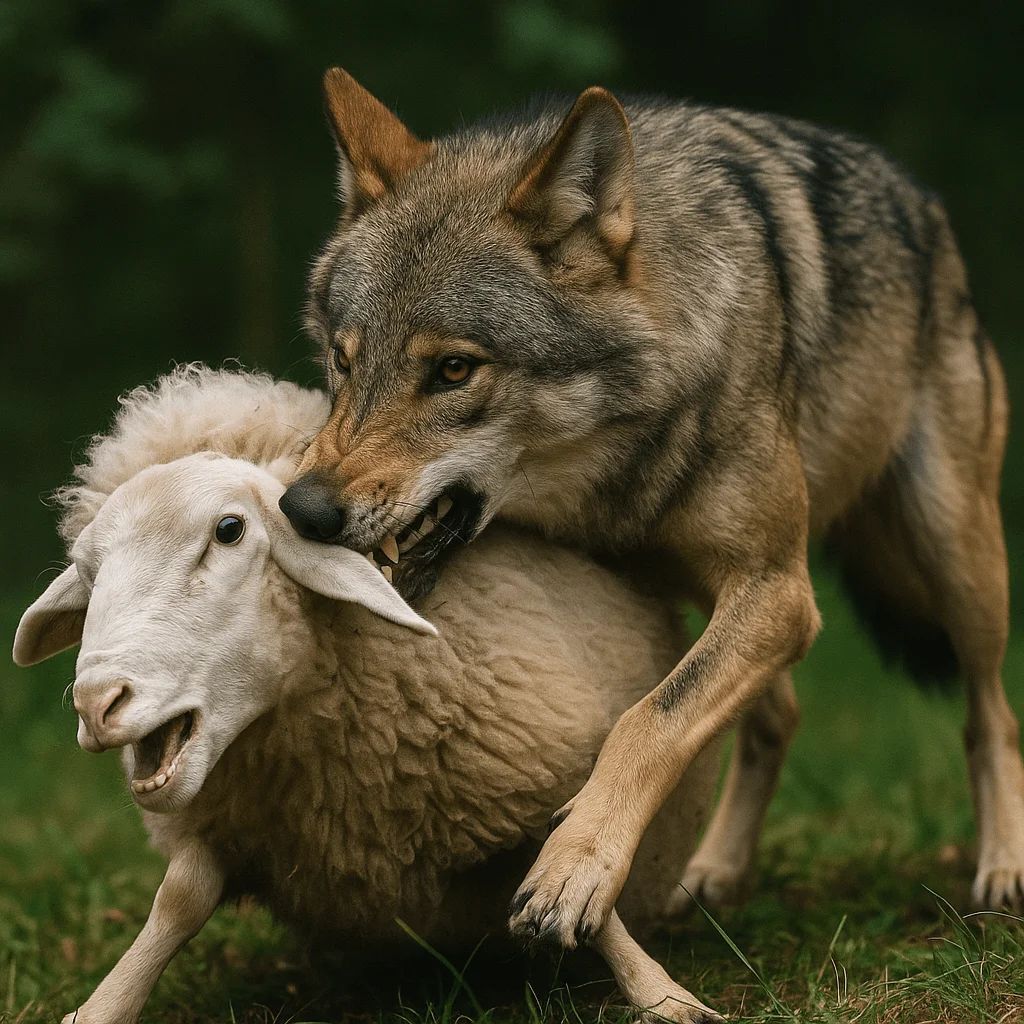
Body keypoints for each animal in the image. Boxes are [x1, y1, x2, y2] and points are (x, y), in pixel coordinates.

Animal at [13, 366, 723, 1024]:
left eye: (229, 530)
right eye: (87, 569)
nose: (96, 703)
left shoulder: (532, 781)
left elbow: (572, 867)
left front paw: (664, 996)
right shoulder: (231, 818)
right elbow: (178, 901)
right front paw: (103, 1005)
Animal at [279, 69, 1023, 965]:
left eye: (453, 370)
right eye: (343, 361)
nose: (300, 508)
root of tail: (925, 206)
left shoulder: (779, 589)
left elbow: (648, 720)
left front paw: (574, 869)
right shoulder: (711, 596)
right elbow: (669, 711)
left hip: (956, 559)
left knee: (991, 716)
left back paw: (1001, 868)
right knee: (778, 716)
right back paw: (714, 875)